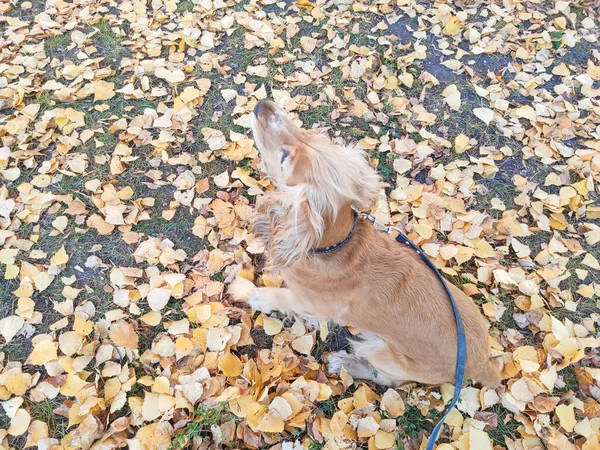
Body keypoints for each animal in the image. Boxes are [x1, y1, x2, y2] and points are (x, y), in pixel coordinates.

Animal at [244, 99, 502, 386]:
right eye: (308, 134)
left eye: (284, 158)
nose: (262, 105)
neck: (338, 244)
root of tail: (482, 365)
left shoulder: (309, 304)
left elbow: (284, 297)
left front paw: (258, 296)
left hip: (387, 357)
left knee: (389, 379)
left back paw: (346, 363)